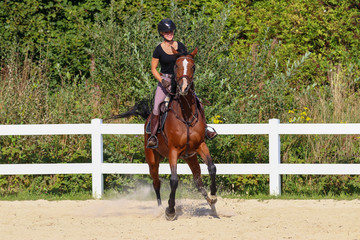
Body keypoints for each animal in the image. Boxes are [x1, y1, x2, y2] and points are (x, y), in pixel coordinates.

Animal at [143, 47, 217, 221]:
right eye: (176, 66)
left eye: (193, 66)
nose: (183, 89)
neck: (186, 115)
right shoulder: (173, 151)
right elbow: (174, 180)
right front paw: (170, 210)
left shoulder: (200, 145)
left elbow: (211, 168)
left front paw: (214, 195)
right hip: (152, 160)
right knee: (156, 182)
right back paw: (160, 208)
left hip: (190, 157)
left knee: (198, 180)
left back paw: (211, 204)